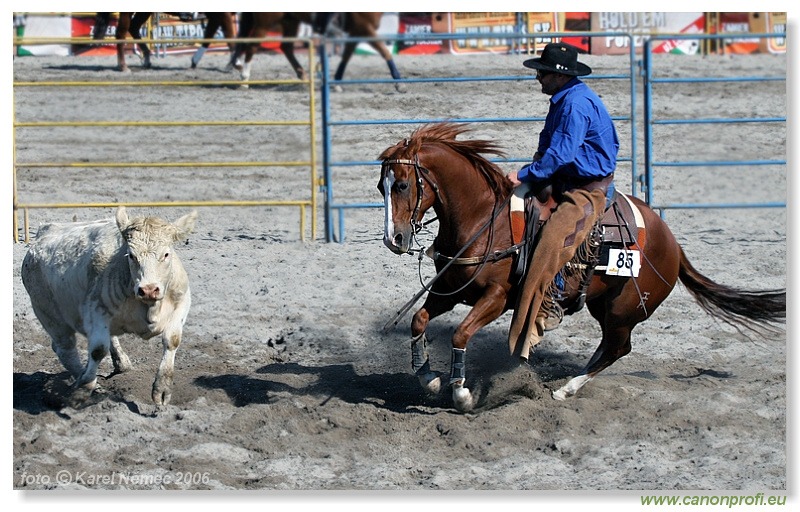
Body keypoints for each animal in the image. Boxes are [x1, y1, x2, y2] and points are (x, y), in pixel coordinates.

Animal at [20, 206, 198, 406]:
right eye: (132, 255)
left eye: (166, 254)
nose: (149, 289)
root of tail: (45, 230)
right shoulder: (95, 311)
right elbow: (98, 350)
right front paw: (84, 388)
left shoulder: (182, 302)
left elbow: (172, 340)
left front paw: (162, 388)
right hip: (48, 314)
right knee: (65, 349)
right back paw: (86, 380)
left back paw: (122, 363)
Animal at [228, 13, 404, 90]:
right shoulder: (364, 28)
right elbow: (385, 52)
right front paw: (399, 83)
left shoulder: (357, 31)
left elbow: (346, 57)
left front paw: (337, 82)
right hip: (264, 23)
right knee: (252, 46)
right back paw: (244, 79)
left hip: (290, 20)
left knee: (286, 48)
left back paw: (303, 76)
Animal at [378, 123, 784, 412]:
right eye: (381, 187)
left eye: (402, 185)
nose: (394, 238)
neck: (483, 220)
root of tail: (673, 244)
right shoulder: (450, 290)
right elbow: (419, 320)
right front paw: (429, 378)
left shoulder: (496, 297)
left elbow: (461, 334)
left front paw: (461, 393)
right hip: (602, 304)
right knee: (611, 347)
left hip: (622, 310)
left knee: (619, 348)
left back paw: (565, 390)